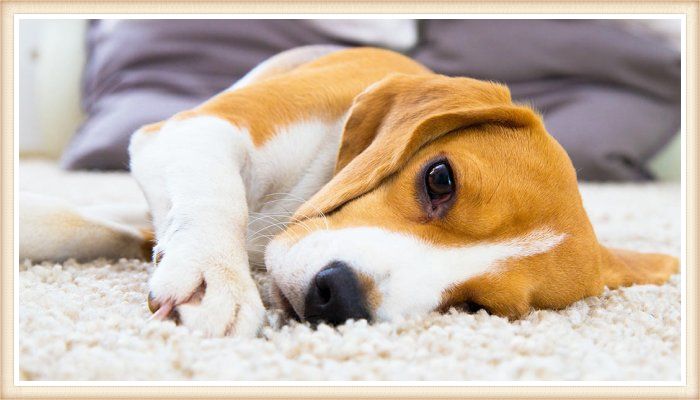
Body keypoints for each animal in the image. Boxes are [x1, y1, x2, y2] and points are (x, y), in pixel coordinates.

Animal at [20, 45, 680, 336]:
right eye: (439, 178)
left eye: (478, 308)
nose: (336, 295)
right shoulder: (196, 130)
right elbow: (214, 199)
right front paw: (216, 278)